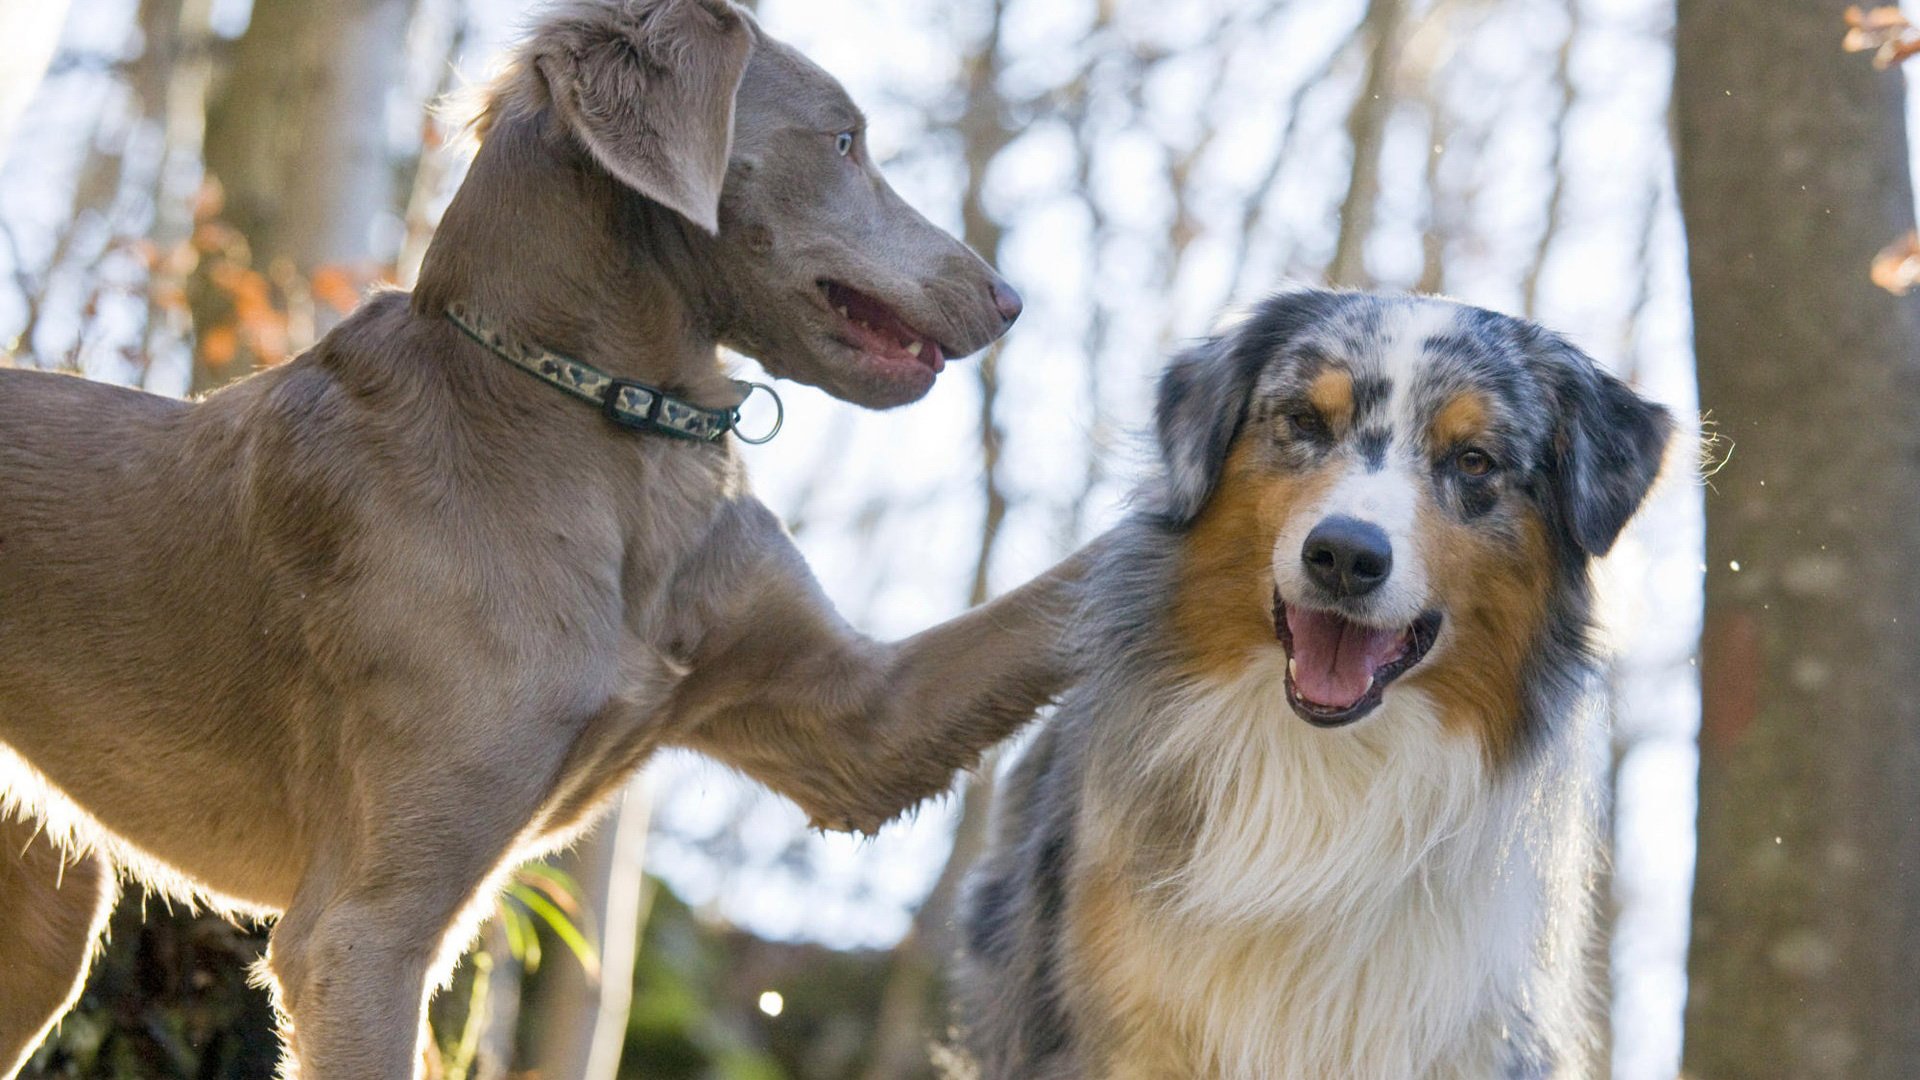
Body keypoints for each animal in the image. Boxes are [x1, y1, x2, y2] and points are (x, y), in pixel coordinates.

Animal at [0, 4, 1082, 1068]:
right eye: (846, 141)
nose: (1012, 301)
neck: (598, 423)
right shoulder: (360, 930)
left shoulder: (856, 721)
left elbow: (1062, 597)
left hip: (45, 923)